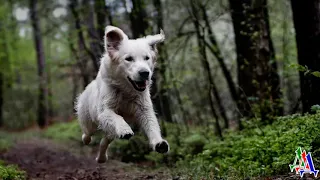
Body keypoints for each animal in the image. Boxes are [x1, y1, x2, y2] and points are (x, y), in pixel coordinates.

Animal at [75, 25, 170, 163]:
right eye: (129, 59)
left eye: (147, 58)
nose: (145, 73)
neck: (126, 91)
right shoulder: (104, 111)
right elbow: (117, 117)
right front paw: (125, 130)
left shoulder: (144, 109)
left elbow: (152, 125)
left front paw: (159, 143)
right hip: (89, 120)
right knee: (87, 133)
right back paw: (87, 140)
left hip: (109, 131)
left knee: (105, 140)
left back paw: (102, 158)